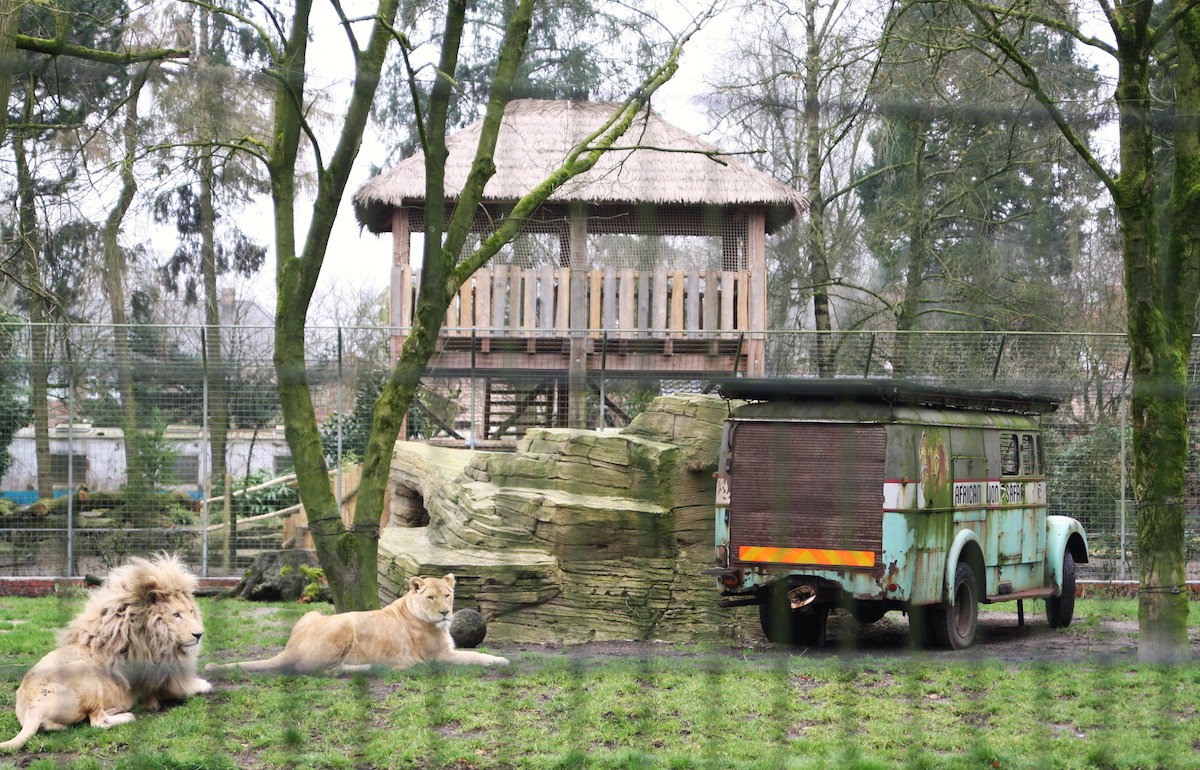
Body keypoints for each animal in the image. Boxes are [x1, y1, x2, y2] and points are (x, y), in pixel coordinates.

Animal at [1, 551, 212, 748]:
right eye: (177, 615)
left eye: (191, 612)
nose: (199, 634)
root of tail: (33, 711)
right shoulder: (160, 683)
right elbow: (190, 687)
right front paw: (204, 684)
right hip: (84, 672)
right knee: (97, 722)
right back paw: (126, 716)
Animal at [206, 570, 506, 671]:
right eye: (430, 597)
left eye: (448, 595)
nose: (445, 612)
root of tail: (289, 649)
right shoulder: (438, 657)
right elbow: (475, 657)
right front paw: (500, 660)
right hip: (345, 623)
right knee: (328, 670)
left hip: (313, 614)